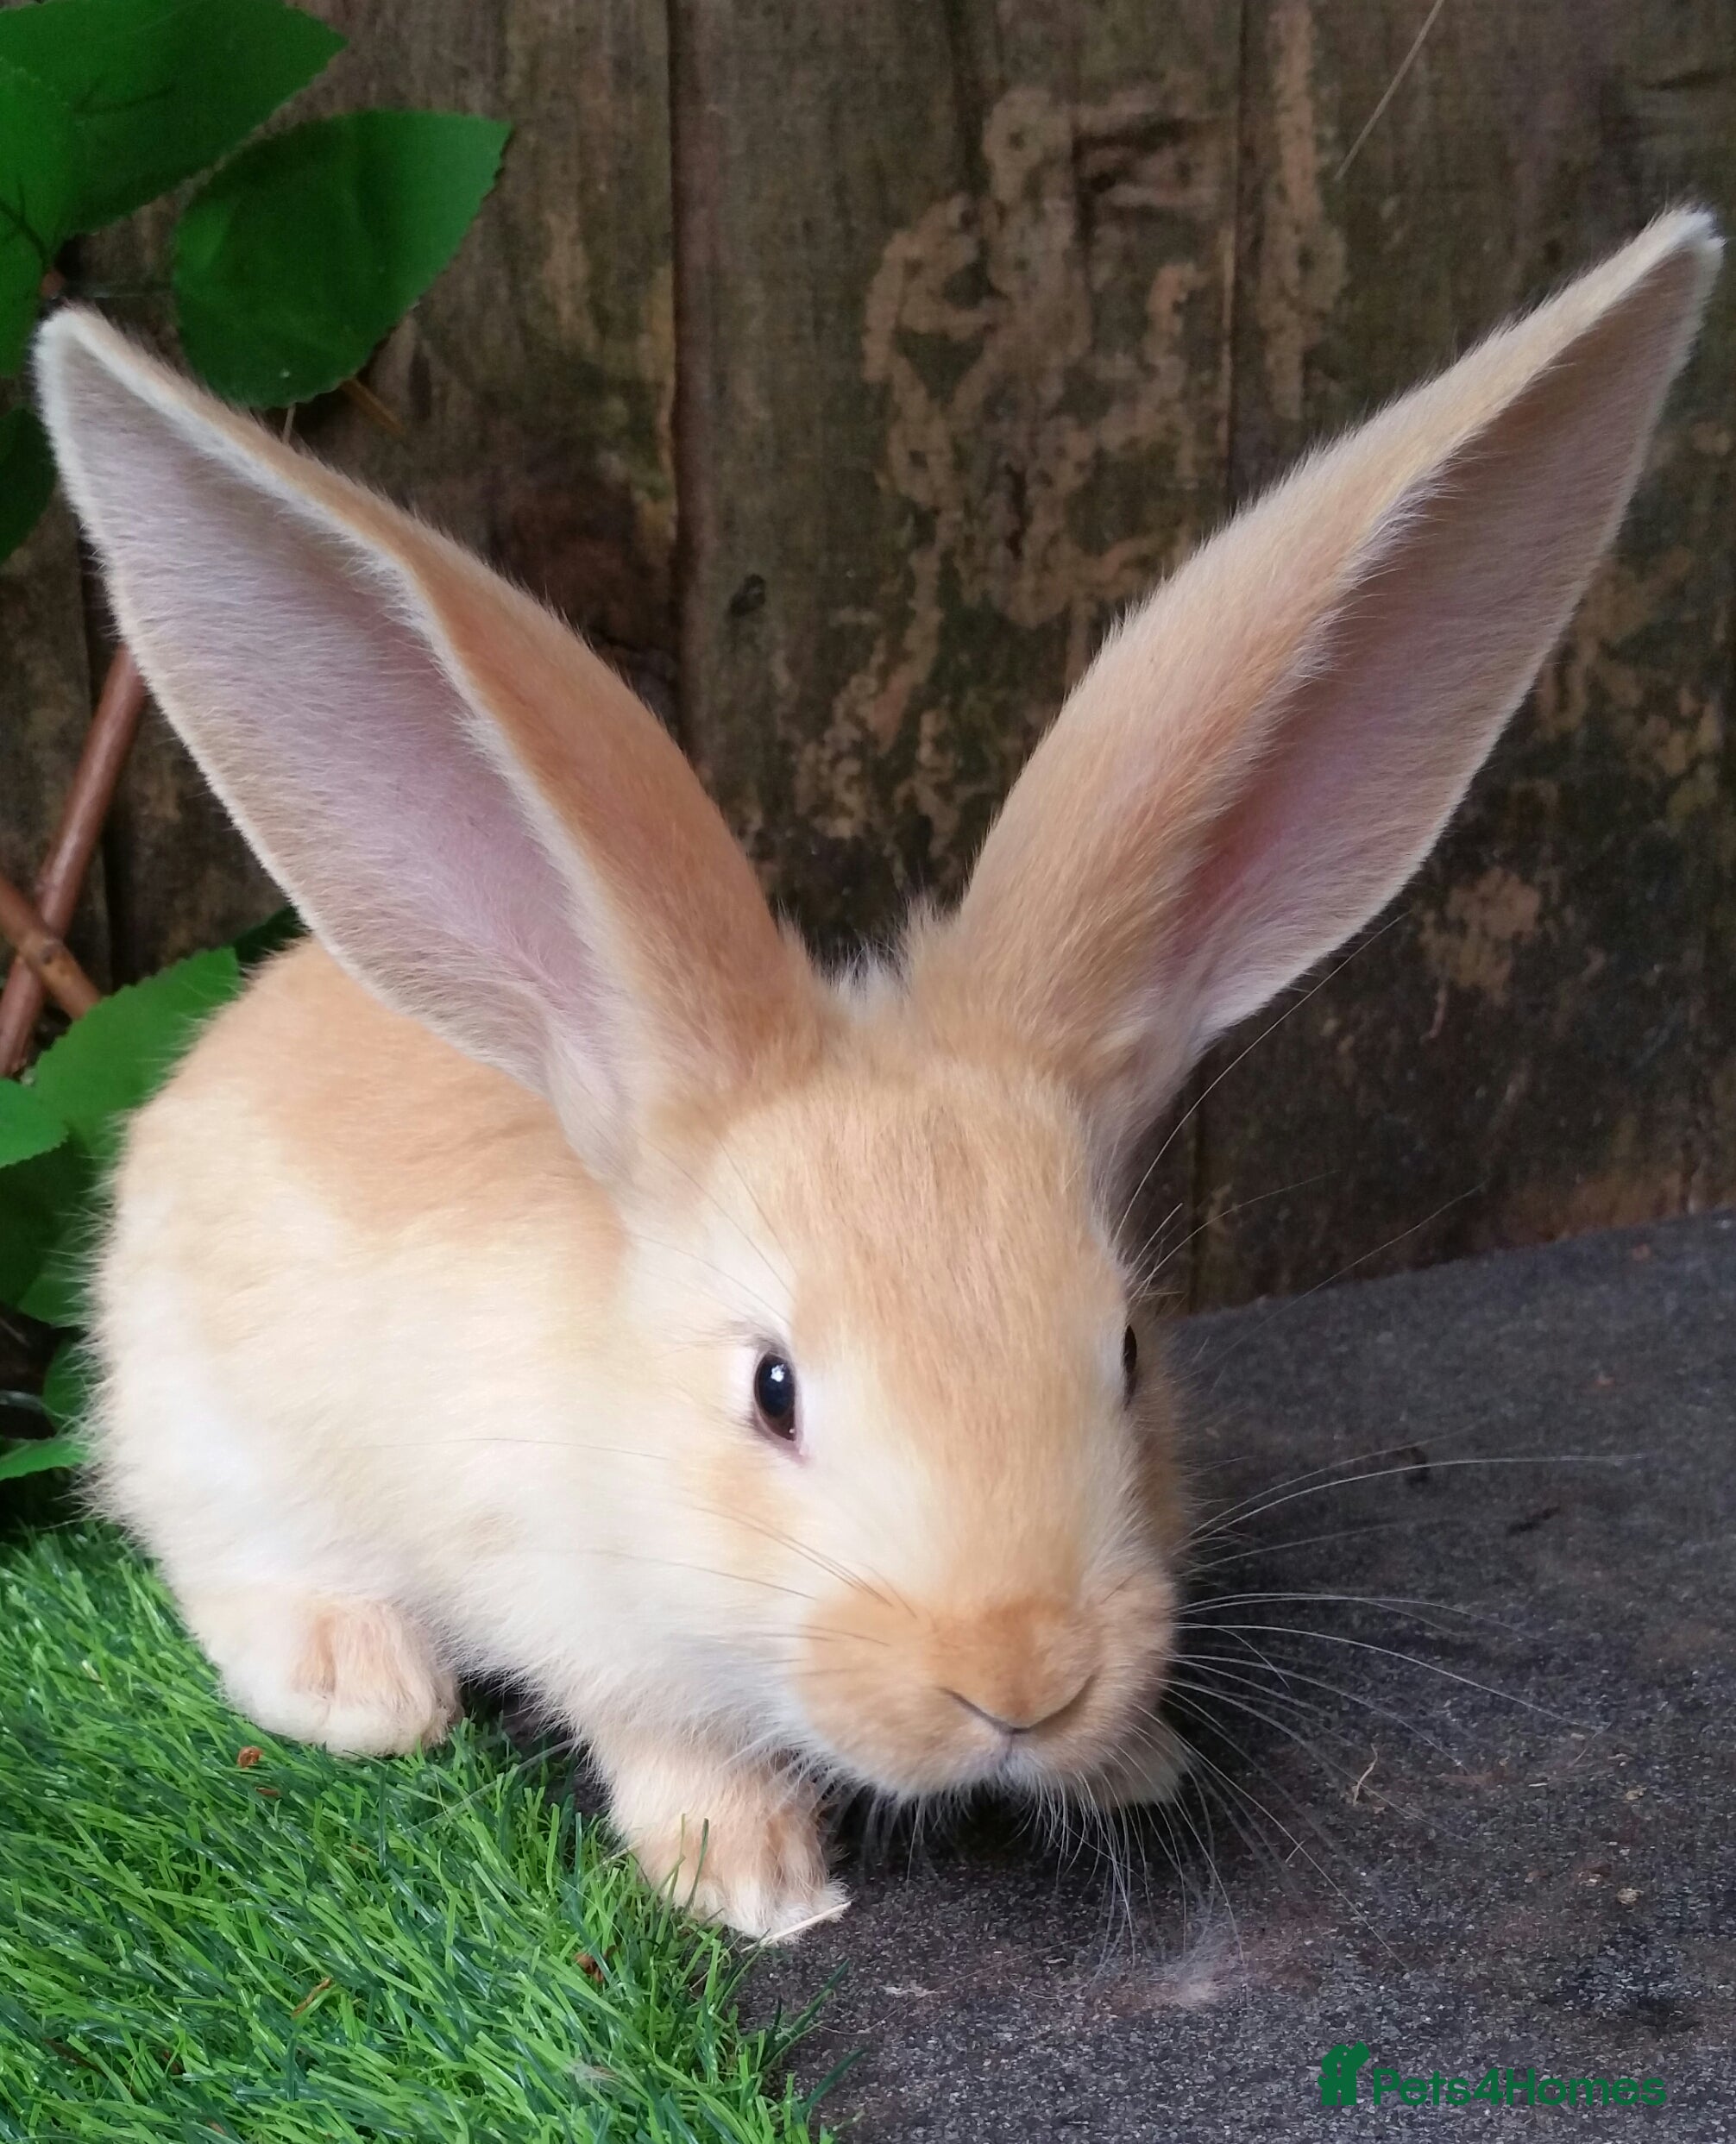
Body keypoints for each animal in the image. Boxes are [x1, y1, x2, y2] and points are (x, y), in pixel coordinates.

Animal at [33, 208, 1717, 1940]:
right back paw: (359, 1681)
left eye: (1127, 1349)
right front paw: (761, 1884)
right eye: (771, 1391)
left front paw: (1133, 1764)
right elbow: (667, 1742)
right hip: (204, 1421)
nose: (1019, 1683)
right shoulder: (580, 1614)